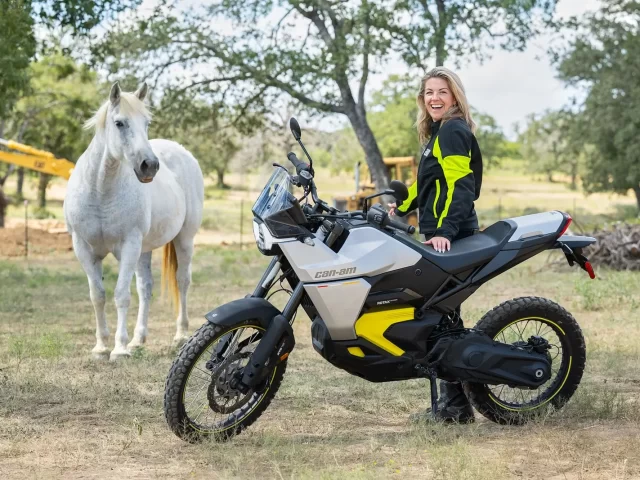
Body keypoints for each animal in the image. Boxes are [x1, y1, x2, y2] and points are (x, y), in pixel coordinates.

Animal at [64, 82, 204, 360]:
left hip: (184, 239)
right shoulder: (83, 249)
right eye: (119, 123)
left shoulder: (128, 246)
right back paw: (138, 340)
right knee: (145, 288)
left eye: (146, 122)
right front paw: (101, 347)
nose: (149, 165)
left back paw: (180, 335)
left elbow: (121, 295)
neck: (100, 191)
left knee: (182, 280)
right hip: (144, 250)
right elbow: (98, 295)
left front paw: (119, 349)